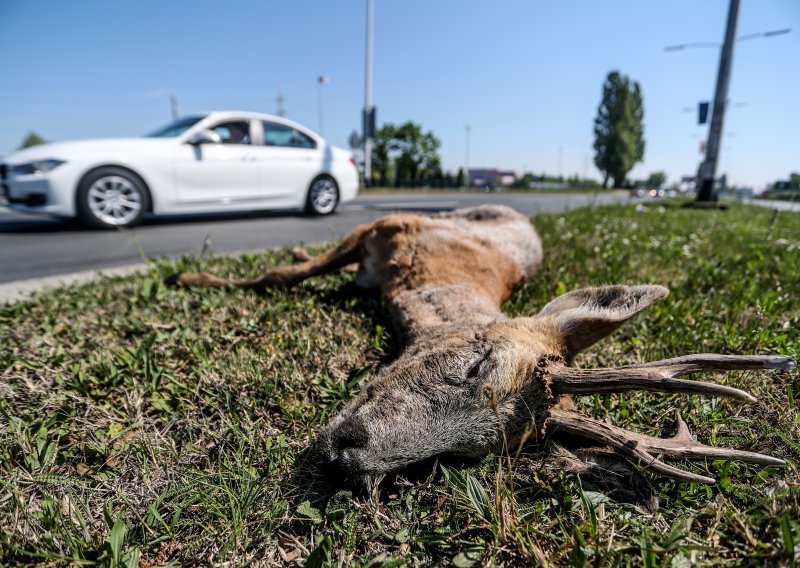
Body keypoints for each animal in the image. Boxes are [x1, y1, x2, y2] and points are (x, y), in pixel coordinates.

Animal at [166, 204, 792, 488]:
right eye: (478, 362)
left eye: (468, 452)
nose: (347, 454)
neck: (428, 286)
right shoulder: (385, 225)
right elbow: (277, 274)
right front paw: (189, 278)